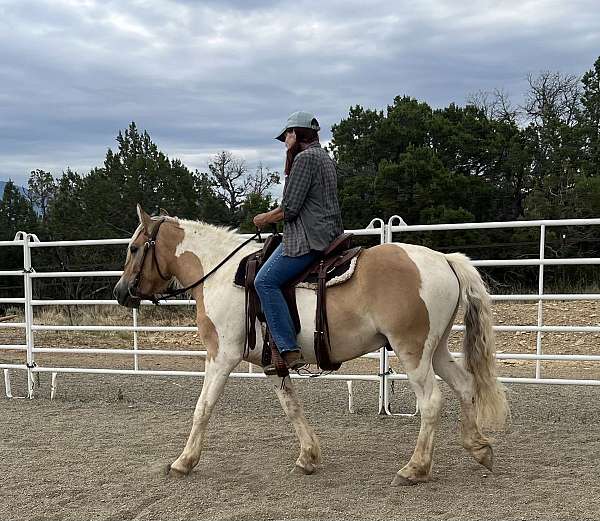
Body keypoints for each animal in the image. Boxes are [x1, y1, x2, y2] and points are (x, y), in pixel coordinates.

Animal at [111, 205, 506, 486]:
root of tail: (444, 260)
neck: (220, 274)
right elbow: (292, 407)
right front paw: (308, 457)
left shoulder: (221, 356)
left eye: (133, 248)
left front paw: (184, 462)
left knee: (432, 401)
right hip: (435, 350)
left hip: (413, 351)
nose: (120, 293)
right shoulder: (273, 362)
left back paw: (415, 468)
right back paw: (479, 448)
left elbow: (203, 407)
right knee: (465, 385)